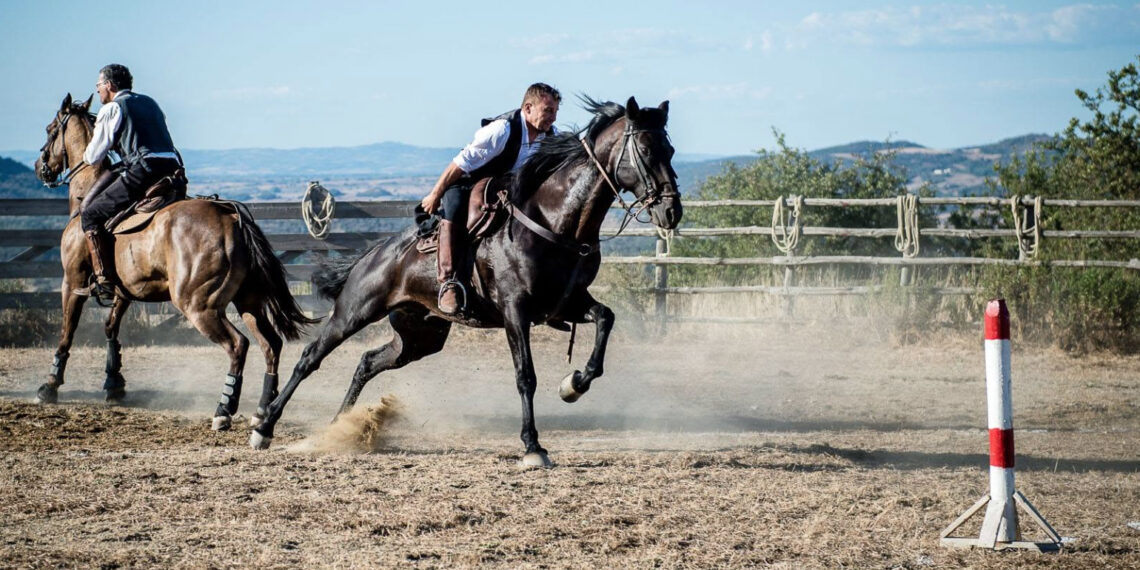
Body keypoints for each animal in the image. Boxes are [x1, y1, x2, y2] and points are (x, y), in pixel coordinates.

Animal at [33, 93, 317, 430]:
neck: (86, 192)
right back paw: (262, 408)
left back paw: (223, 409)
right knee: (270, 344)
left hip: (199, 306)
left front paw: (49, 385)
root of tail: (231, 217)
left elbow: (67, 331)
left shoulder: (73, 281)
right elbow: (110, 328)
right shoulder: (123, 291)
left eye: (50, 130)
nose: (39, 167)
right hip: (248, 301)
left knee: (239, 345)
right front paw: (114, 384)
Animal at [250, 96, 682, 467]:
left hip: (419, 334)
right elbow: (525, 376)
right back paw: (264, 427)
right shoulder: (516, 311)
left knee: (368, 362)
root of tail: (376, 252)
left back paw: (340, 426)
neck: (553, 221)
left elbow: (606, 319)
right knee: (310, 357)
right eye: (646, 150)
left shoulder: (568, 302)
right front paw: (533, 446)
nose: (672, 211)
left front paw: (574, 384)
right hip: (355, 311)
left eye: (672, 151)